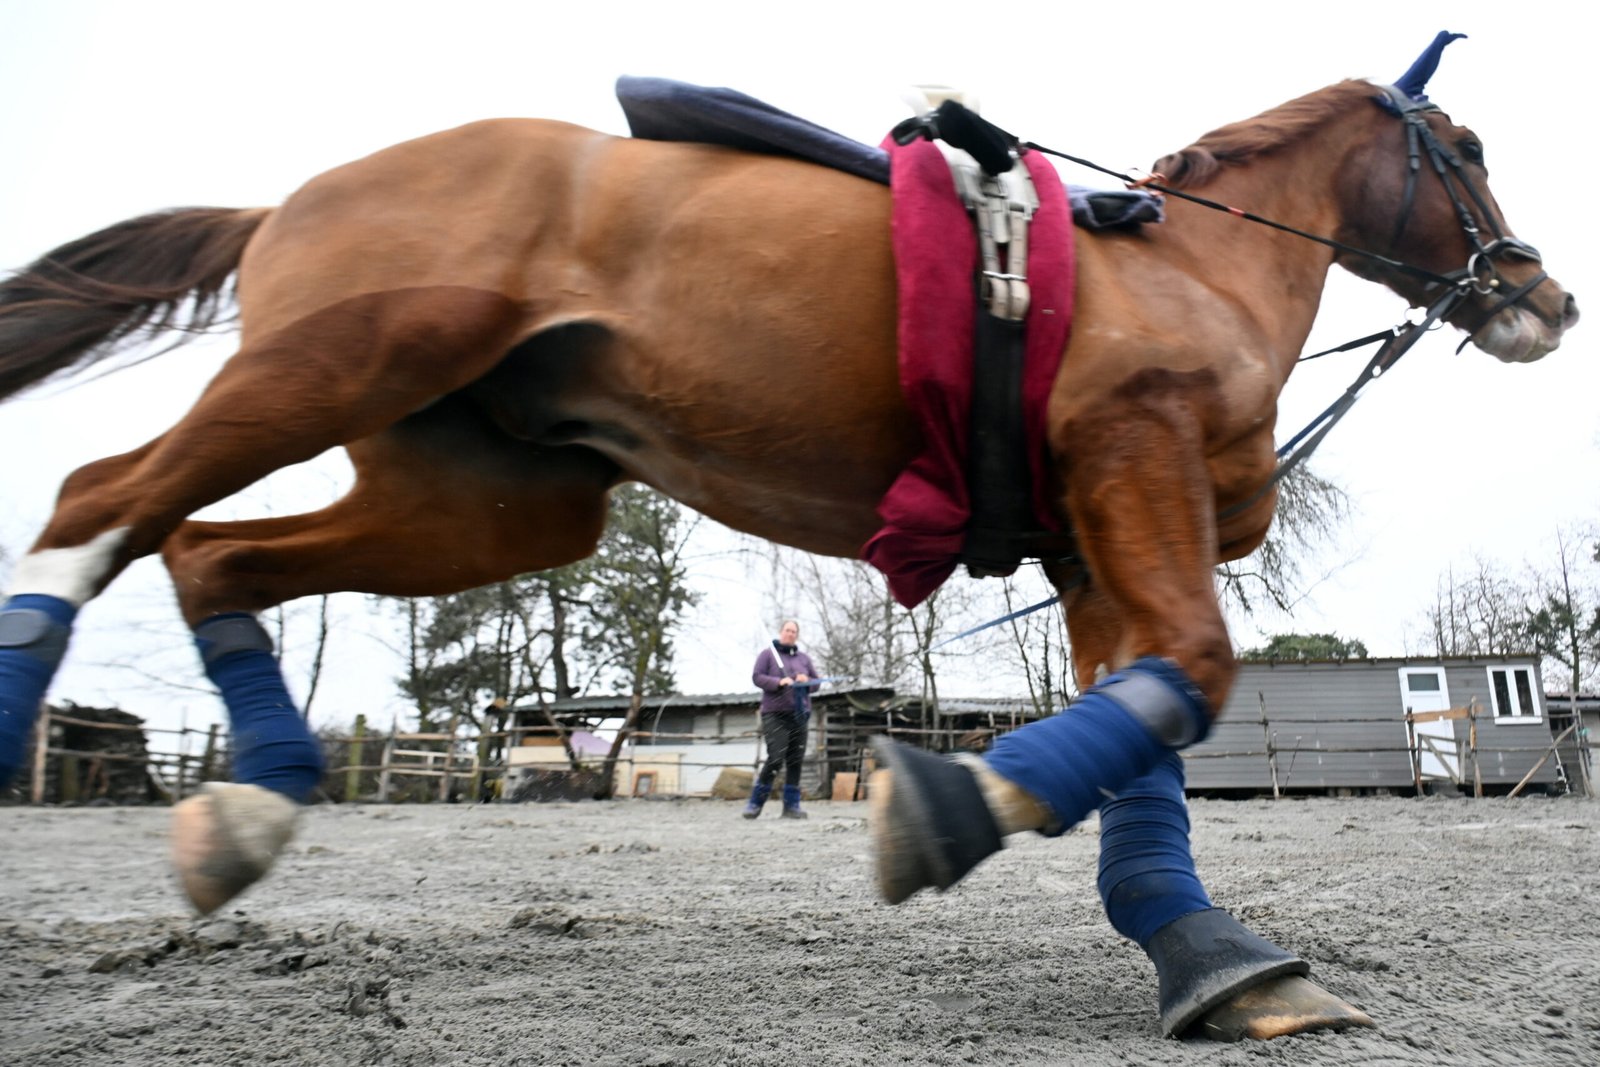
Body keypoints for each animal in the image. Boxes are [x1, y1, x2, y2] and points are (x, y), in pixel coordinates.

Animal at [0, 34, 1577, 1042]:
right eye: (1468, 151)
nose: (1542, 294)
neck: (1187, 259)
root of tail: (291, 198)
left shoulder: (1090, 538)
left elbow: (1151, 719)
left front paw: (1212, 955)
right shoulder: (1136, 464)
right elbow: (1188, 668)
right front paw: (952, 807)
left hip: (482, 498)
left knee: (210, 555)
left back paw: (252, 804)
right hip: (328, 371)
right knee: (95, 503)